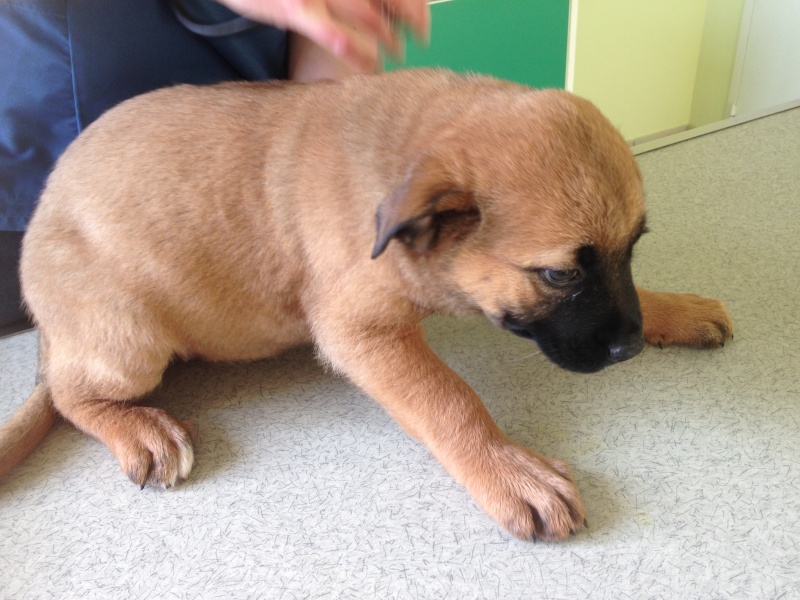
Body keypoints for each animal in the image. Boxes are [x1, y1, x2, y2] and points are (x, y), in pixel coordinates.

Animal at [0, 69, 732, 540]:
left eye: (633, 249)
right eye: (556, 274)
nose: (629, 348)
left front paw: (675, 310)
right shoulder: (363, 333)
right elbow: (450, 400)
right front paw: (506, 470)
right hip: (130, 343)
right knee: (69, 394)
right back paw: (138, 429)